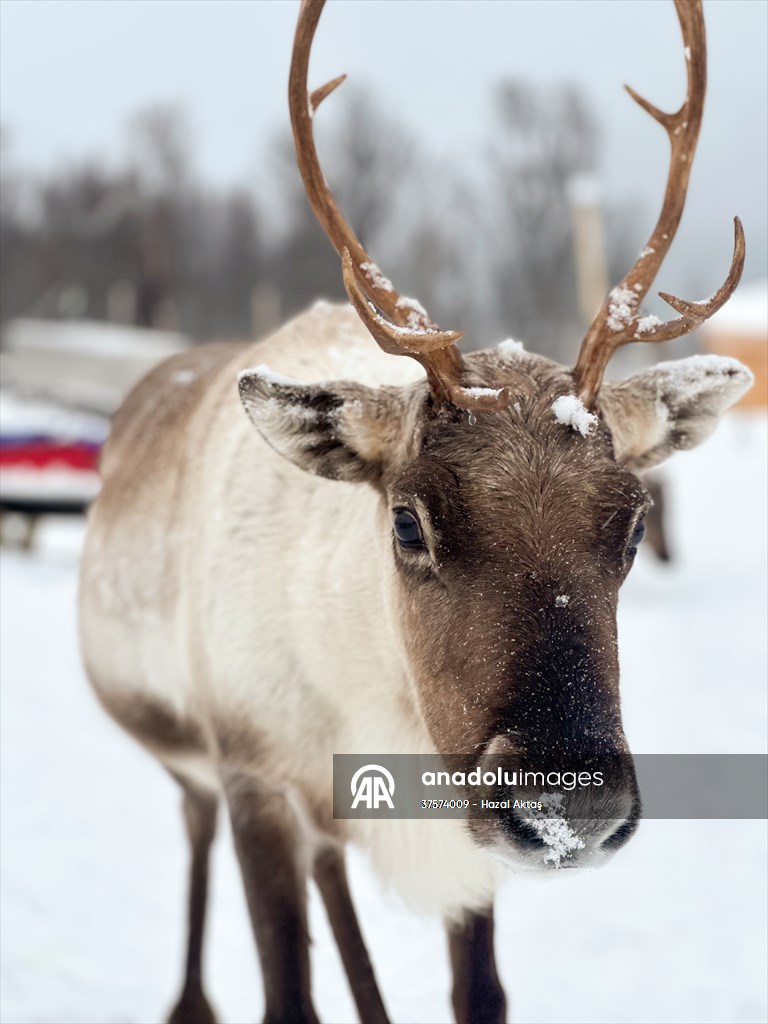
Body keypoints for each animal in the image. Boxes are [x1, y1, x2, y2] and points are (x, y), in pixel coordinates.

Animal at [78, 1, 751, 1022]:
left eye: (635, 524)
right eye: (407, 521)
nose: (574, 805)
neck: (381, 715)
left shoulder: (463, 852)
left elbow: (480, 994)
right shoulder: (252, 774)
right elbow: (290, 991)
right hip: (190, 753)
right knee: (194, 825)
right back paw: (189, 999)